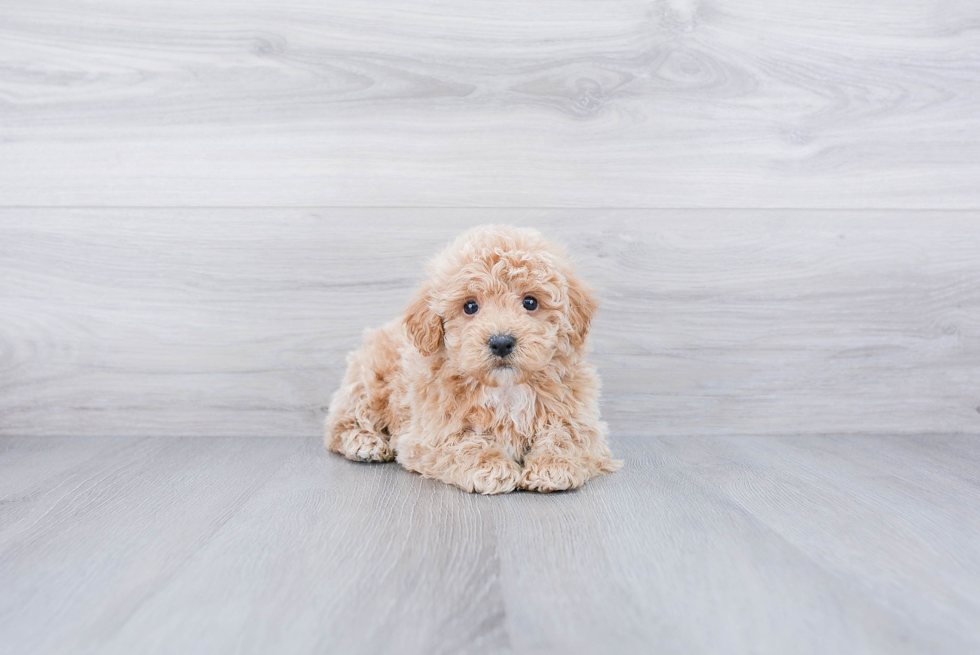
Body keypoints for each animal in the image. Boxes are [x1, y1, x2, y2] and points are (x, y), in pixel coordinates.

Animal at [328, 226, 620, 492]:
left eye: (530, 302)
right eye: (470, 306)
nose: (501, 342)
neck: (506, 389)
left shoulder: (580, 418)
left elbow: (569, 435)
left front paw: (554, 466)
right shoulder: (429, 433)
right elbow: (463, 442)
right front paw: (492, 467)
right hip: (369, 380)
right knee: (341, 421)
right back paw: (365, 442)